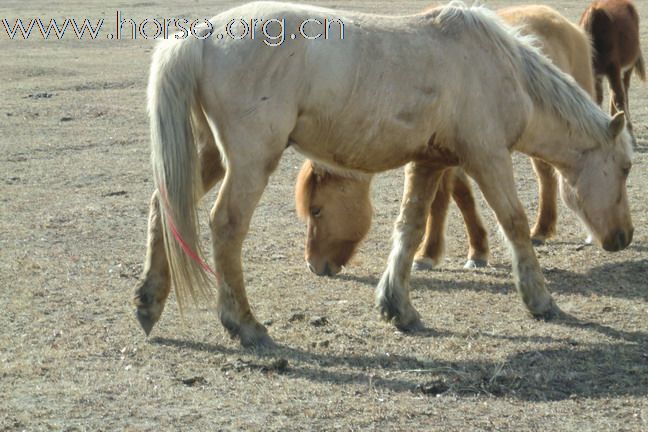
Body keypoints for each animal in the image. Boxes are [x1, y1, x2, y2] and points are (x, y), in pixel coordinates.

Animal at [294, 5, 596, 276]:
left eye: (316, 210)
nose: (312, 265)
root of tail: (561, 22)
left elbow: (439, 201)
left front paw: (427, 254)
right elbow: (462, 196)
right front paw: (478, 250)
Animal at [580, 0, 644, 145]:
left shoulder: (613, 68)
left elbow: (619, 98)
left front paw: (630, 134)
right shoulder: (596, 74)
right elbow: (598, 98)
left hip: (626, 67)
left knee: (623, 92)